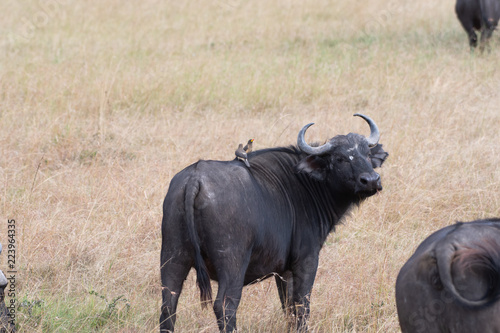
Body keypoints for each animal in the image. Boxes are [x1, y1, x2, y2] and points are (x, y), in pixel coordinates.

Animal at [158, 113, 388, 330]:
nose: (371, 180)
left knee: (169, 304)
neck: (307, 182)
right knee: (224, 306)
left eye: (367, 154)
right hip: (232, 265)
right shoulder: (306, 260)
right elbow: (301, 306)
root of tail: (195, 178)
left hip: (173, 257)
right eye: (340, 158)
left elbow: (288, 308)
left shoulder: (283, 271)